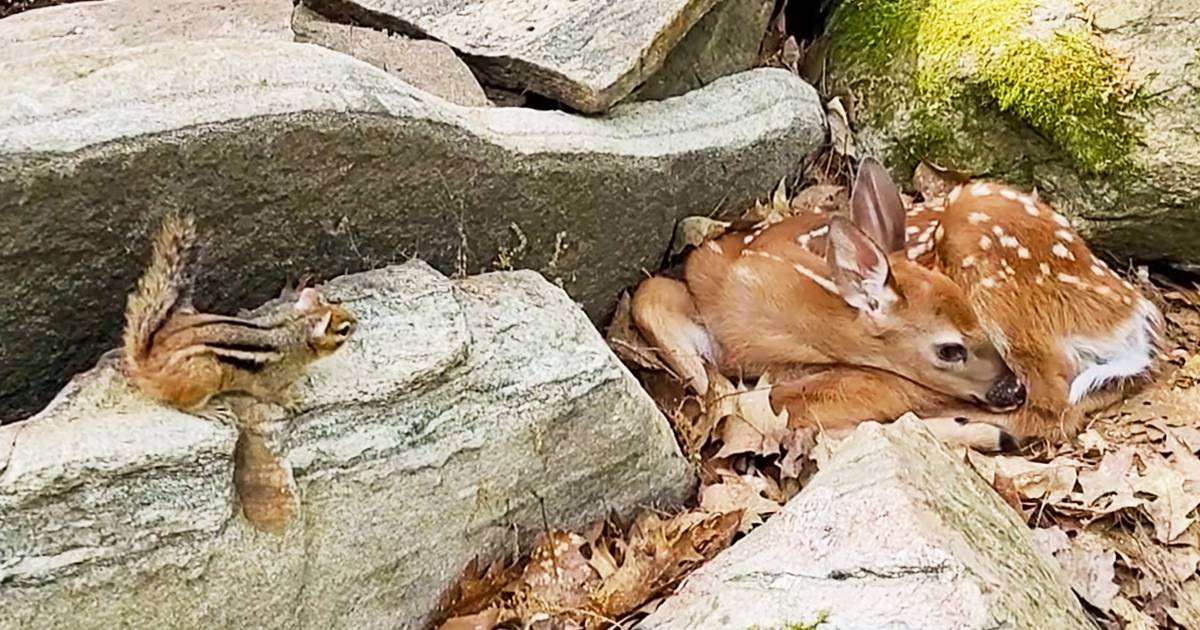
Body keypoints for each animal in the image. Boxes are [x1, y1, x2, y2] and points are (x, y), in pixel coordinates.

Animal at [121, 211, 357, 412]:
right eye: (344, 330)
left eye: (336, 305)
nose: (356, 322)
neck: (294, 330)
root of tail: (147, 362)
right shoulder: (270, 380)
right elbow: (274, 395)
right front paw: (293, 403)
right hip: (206, 373)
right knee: (183, 406)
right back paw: (211, 411)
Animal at [631, 158, 1163, 449]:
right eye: (950, 348)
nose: (1007, 389)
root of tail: (1132, 313)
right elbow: (648, 298)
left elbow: (775, 403)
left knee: (1053, 407)